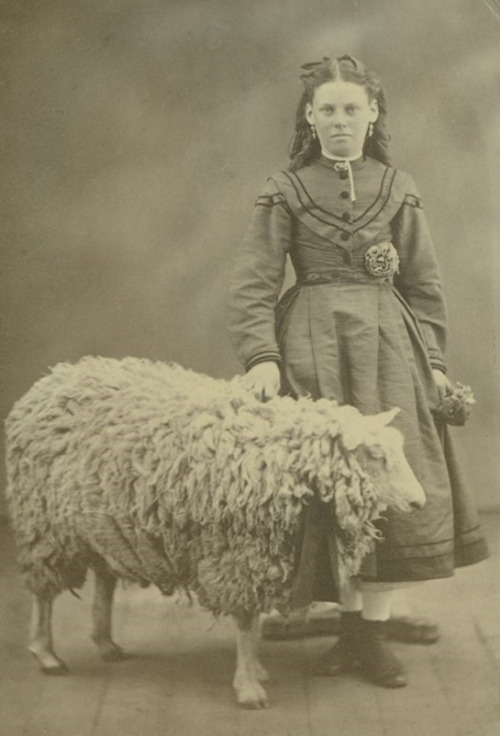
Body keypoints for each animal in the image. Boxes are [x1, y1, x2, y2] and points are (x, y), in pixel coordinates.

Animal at [4, 356, 426, 708]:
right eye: (376, 456)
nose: (420, 502)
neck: (283, 460)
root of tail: (50, 380)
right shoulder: (238, 555)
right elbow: (245, 623)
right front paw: (249, 686)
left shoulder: (266, 555)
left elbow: (252, 624)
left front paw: (256, 670)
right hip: (47, 525)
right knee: (44, 593)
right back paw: (46, 653)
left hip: (102, 524)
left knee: (104, 581)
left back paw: (105, 643)